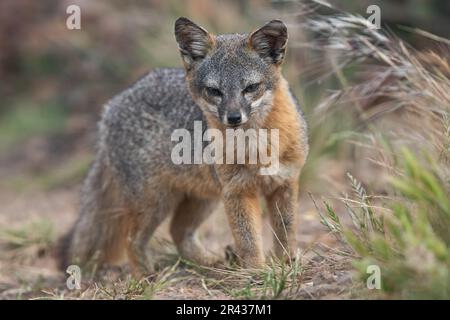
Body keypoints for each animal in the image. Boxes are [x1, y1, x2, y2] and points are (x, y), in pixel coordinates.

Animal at [59, 16, 310, 276]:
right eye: (214, 91)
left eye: (250, 88)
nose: (233, 118)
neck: (257, 147)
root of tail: (110, 107)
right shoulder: (237, 191)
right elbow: (249, 240)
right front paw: (256, 273)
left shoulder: (285, 183)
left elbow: (286, 233)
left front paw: (288, 264)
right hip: (156, 201)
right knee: (133, 239)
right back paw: (147, 278)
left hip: (203, 198)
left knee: (178, 231)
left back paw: (208, 263)